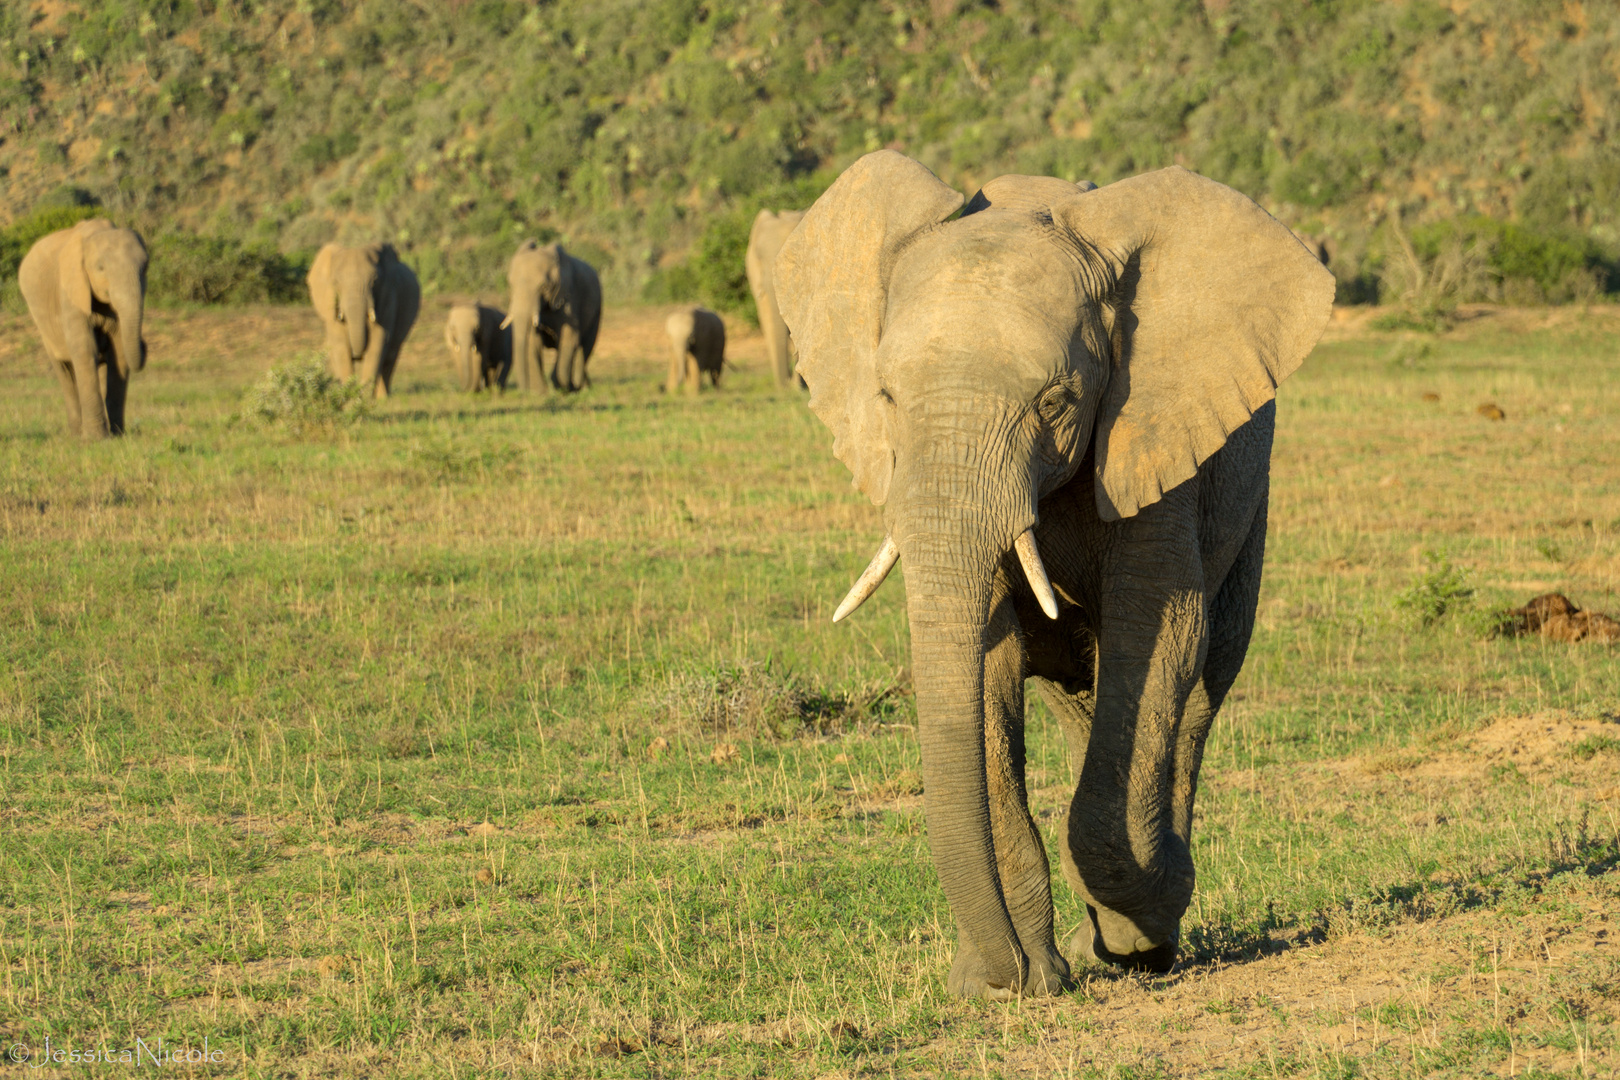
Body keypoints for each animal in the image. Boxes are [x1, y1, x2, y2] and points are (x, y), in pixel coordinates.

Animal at [18, 220, 149, 440]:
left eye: (145, 267)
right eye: (101, 268)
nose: (145, 343)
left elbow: (119, 352)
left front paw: (118, 436)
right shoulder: (71, 289)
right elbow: (85, 349)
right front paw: (96, 440)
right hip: (45, 329)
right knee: (65, 373)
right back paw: (76, 434)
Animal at [304, 242, 417, 399]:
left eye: (375, 280)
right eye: (336, 282)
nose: (357, 355)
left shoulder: (388, 297)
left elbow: (378, 341)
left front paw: (364, 398)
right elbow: (340, 345)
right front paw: (348, 397)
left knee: (390, 356)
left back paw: (383, 398)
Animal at [505, 241, 602, 393]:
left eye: (544, 287)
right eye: (510, 284)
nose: (523, 390)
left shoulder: (569, 296)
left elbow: (569, 337)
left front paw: (559, 387)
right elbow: (533, 341)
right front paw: (539, 392)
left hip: (597, 310)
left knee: (586, 347)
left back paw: (580, 387)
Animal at [777, 149, 1334, 997]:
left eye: (1056, 400)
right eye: (887, 396)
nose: (1005, 972)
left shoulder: (1152, 432)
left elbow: (1158, 633)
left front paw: (1128, 941)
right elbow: (991, 659)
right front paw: (1013, 981)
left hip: (1251, 500)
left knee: (1196, 697)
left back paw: (1147, 925)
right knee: (1087, 705)